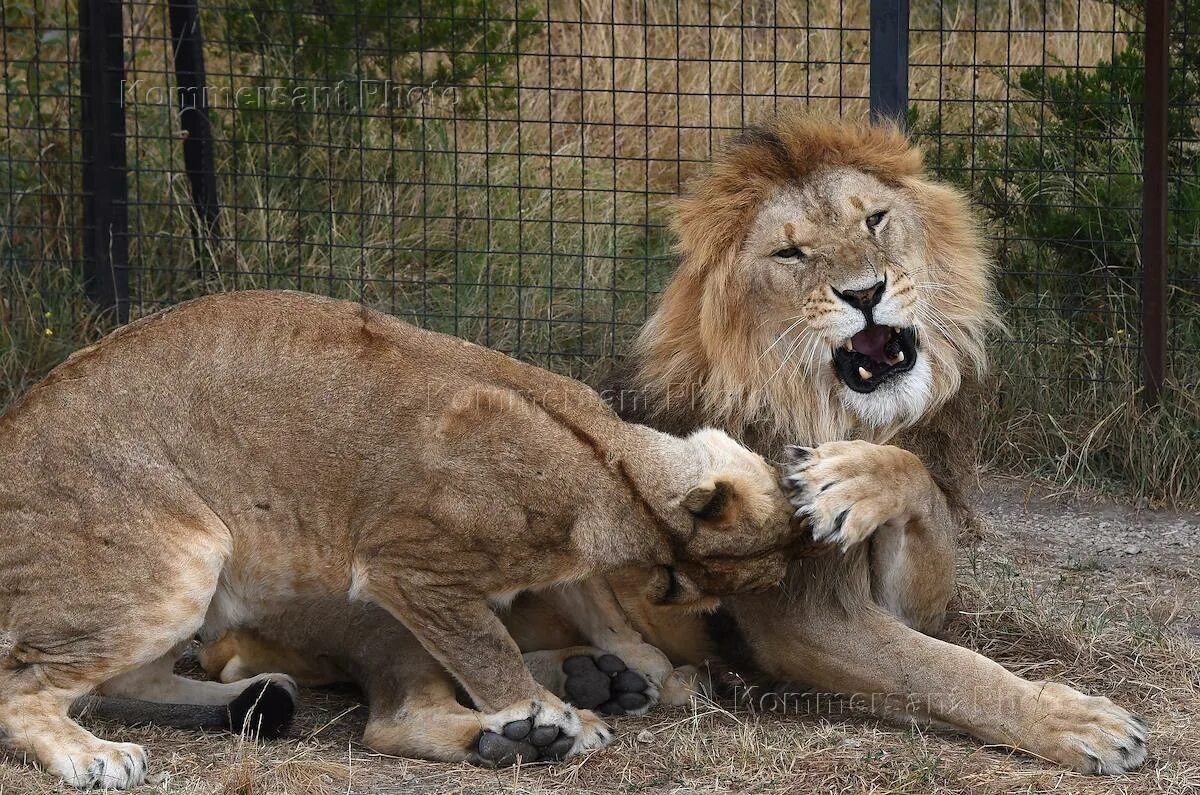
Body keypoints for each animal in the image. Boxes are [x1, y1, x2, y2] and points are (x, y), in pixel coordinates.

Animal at [0, 289, 816, 787]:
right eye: (679, 589)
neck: (613, 464)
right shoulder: (409, 567)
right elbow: (487, 647)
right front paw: (546, 715)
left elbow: (592, 602)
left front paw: (635, 661)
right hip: (184, 562)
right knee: (27, 688)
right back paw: (94, 757)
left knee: (120, 680)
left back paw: (259, 699)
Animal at [201, 115, 1147, 773]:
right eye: (791, 252)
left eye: (876, 219)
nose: (866, 293)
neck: (837, 405)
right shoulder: (804, 617)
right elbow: (951, 671)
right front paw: (1080, 721)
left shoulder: (904, 574)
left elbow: (917, 506)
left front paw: (849, 482)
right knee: (402, 706)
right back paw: (532, 728)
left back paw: (615, 678)